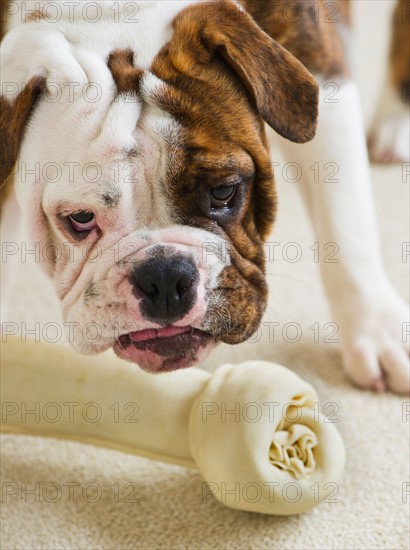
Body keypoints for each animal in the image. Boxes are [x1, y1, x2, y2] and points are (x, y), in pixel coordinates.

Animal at [0, 1, 410, 396]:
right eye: (80, 219)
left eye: (223, 191)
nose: (164, 278)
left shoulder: (320, 70)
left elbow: (345, 222)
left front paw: (379, 331)